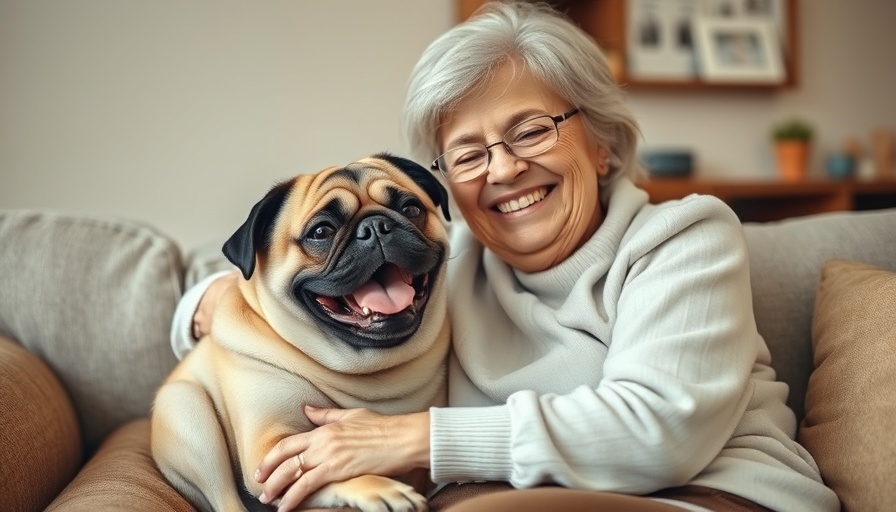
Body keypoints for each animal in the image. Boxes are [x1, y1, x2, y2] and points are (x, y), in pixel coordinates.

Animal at [151, 153, 456, 512]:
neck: (368, 372)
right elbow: (320, 468)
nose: (375, 227)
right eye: (321, 231)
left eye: (411, 209)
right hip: (188, 412)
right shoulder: (271, 451)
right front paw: (380, 488)